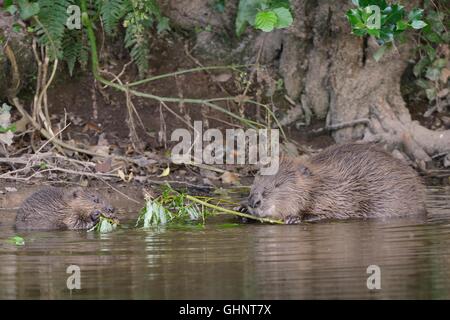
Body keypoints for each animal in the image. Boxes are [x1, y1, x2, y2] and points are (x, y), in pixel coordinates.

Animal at [243, 144, 426, 224]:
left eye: (278, 184)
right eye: (256, 179)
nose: (254, 201)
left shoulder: (341, 195)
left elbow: (334, 212)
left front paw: (295, 218)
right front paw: (242, 210)